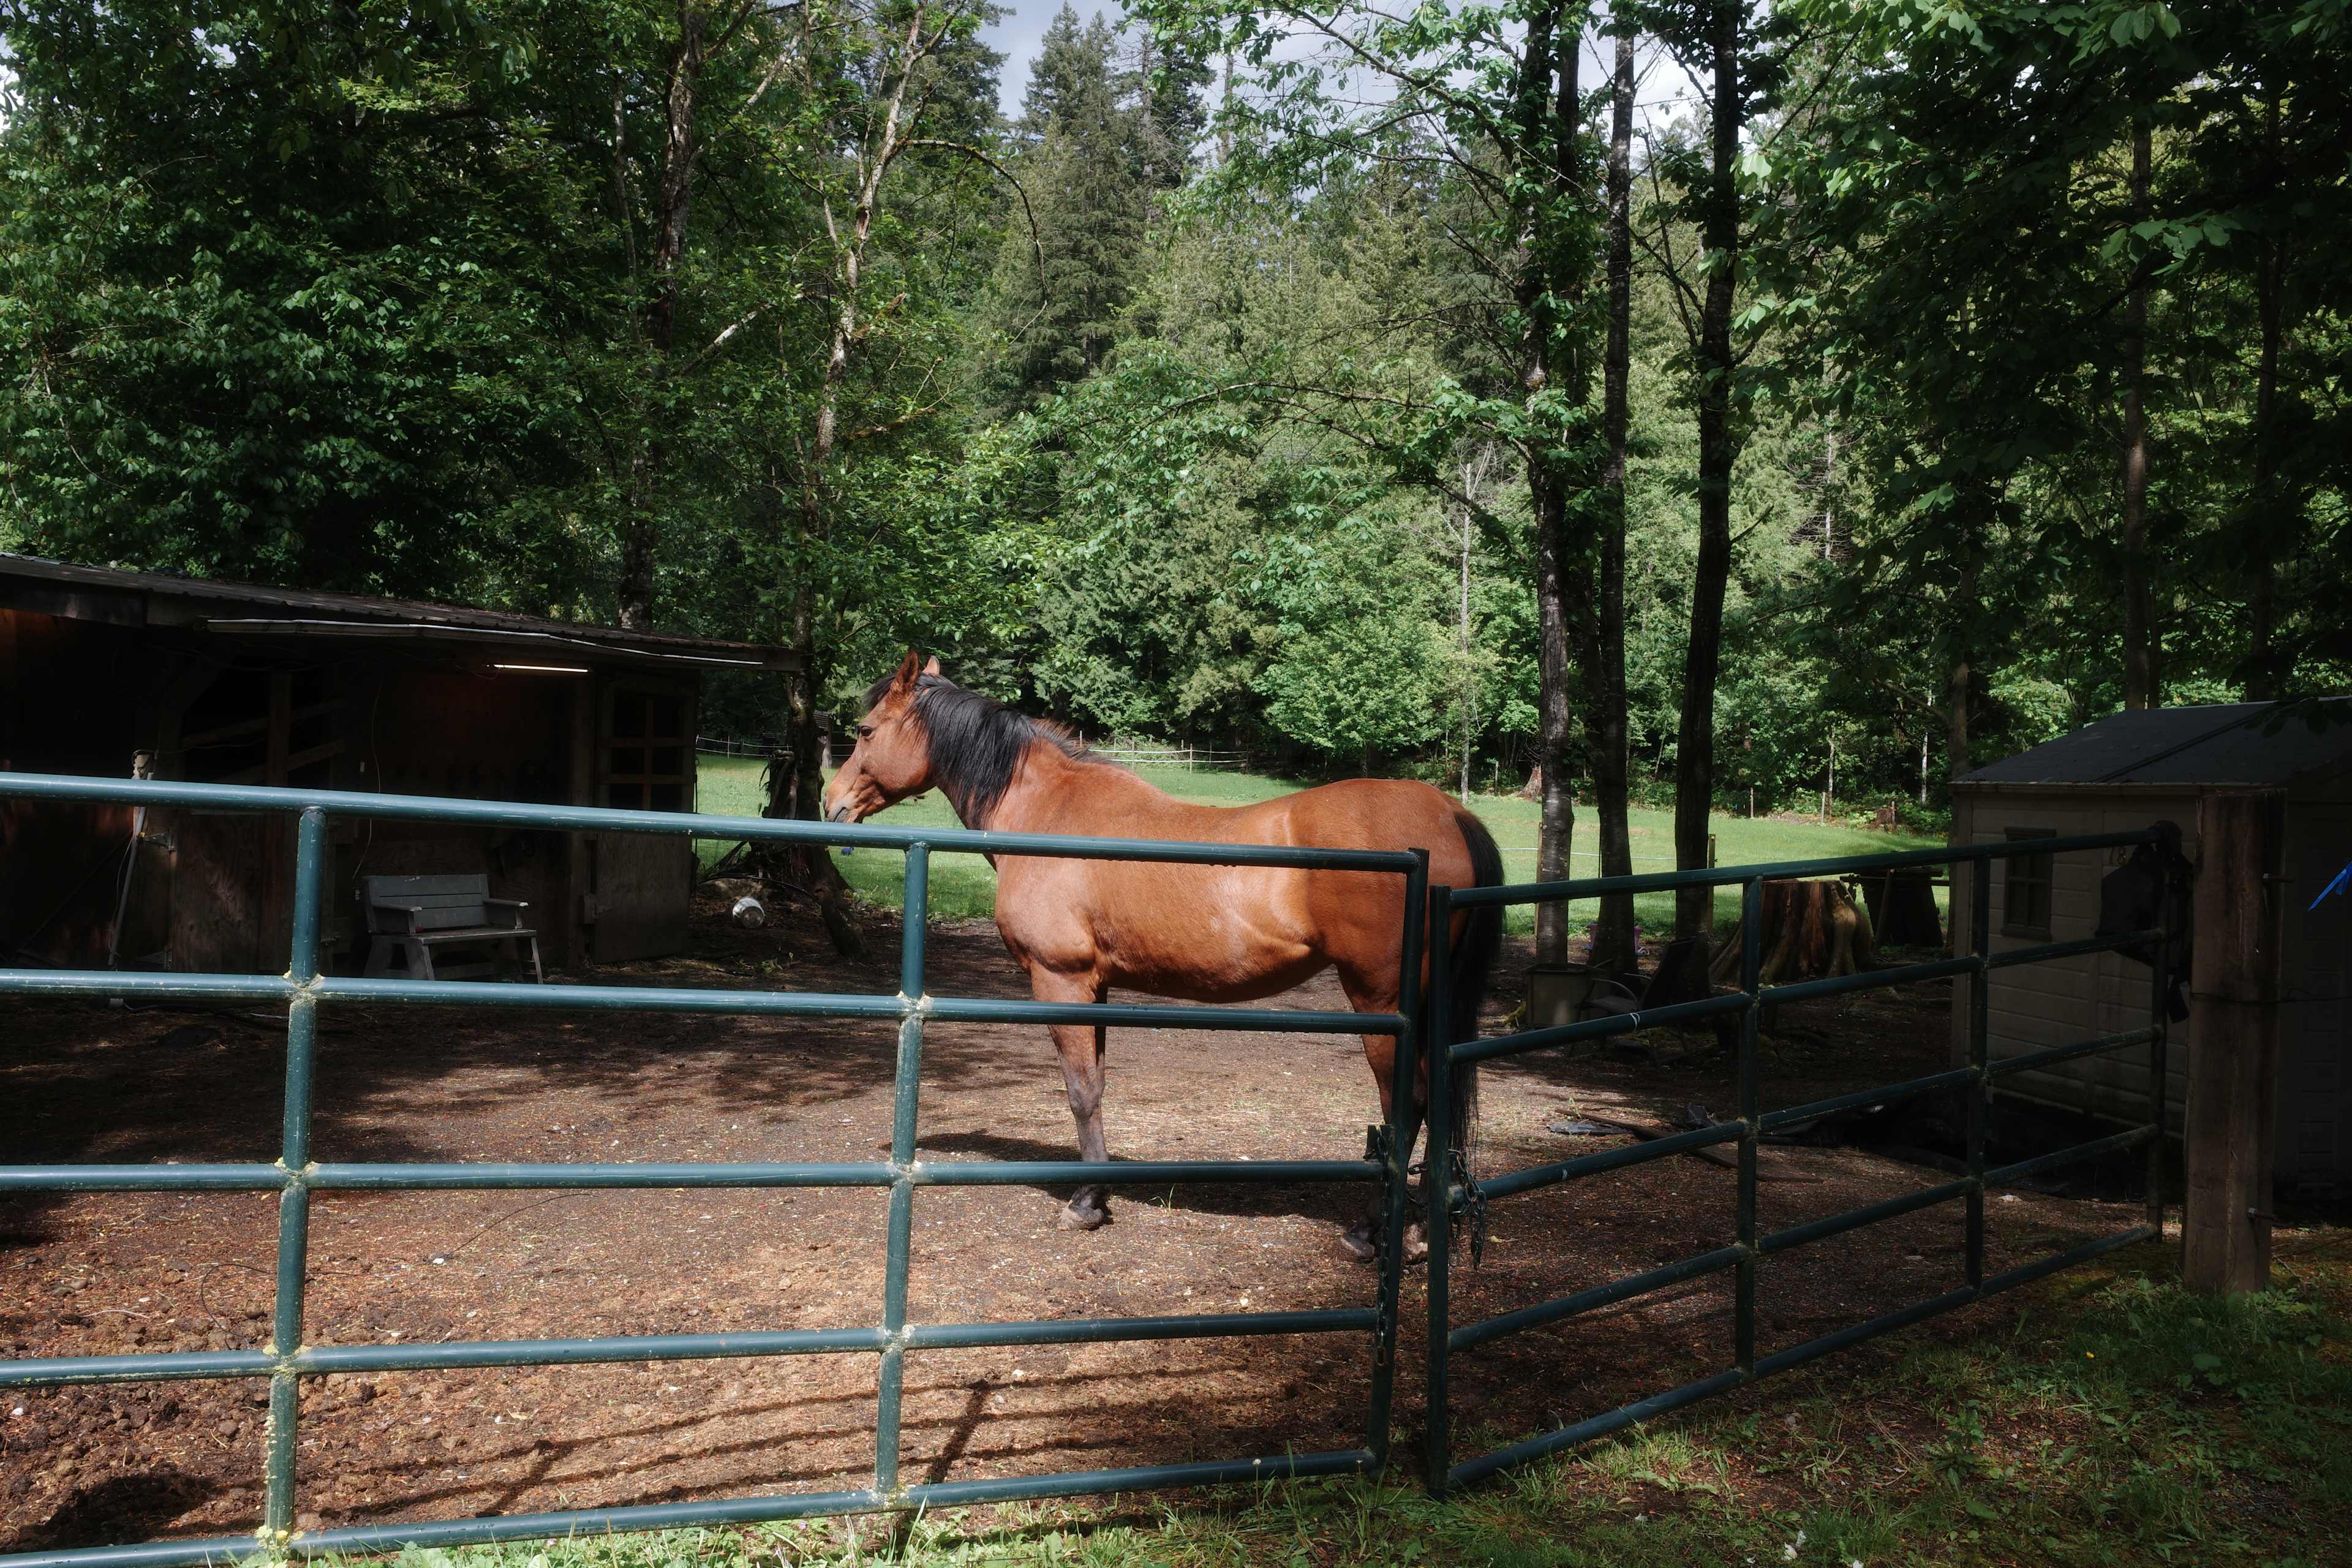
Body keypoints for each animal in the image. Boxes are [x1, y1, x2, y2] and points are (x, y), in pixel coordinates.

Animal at [822, 651, 1503, 1258]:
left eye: (865, 730)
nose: (832, 803)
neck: (1050, 812)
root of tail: (1450, 812)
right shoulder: (1093, 987)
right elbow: (1095, 1084)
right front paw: (1098, 1194)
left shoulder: (1060, 981)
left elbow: (1080, 1090)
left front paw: (1085, 1204)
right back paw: (1417, 1233)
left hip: (1381, 1004)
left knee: (1408, 1106)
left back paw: (1371, 1233)